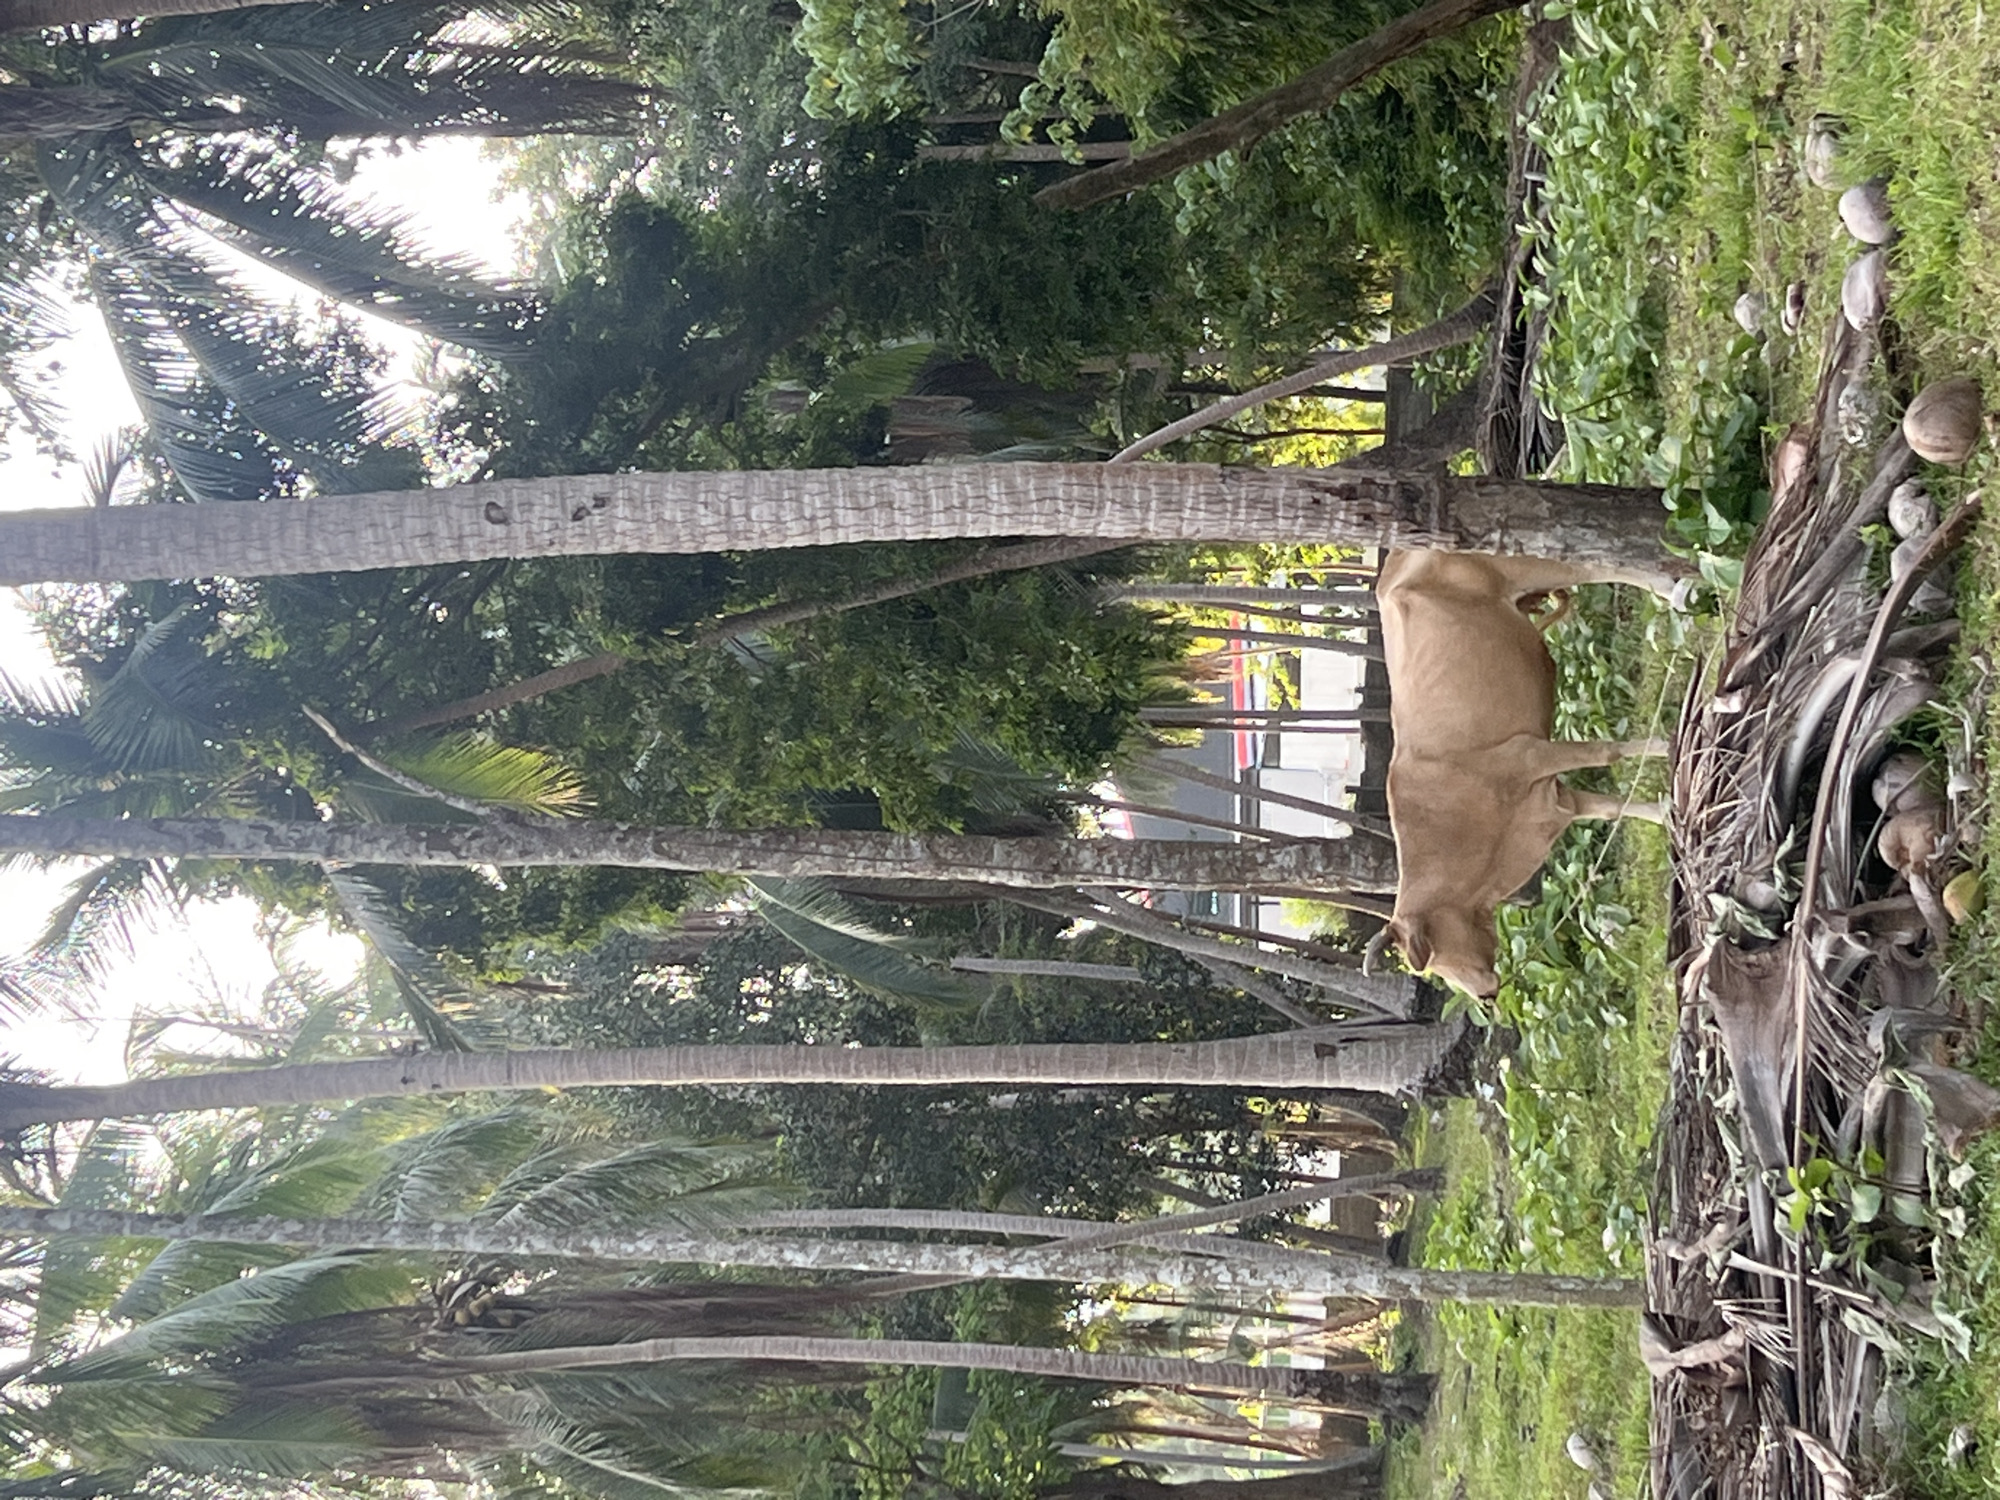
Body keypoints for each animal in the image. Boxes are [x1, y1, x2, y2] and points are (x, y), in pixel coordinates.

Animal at [1365, 550, 1672, 999]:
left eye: (1433, 960)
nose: (1485, 996)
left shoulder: (1530, 754)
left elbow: (1608, 750)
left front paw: (1670, 744)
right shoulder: (1554, 800)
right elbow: (1613, 809)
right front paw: (1668, 814)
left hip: (1527, 565)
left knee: (1597, 567)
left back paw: (1674, 587)